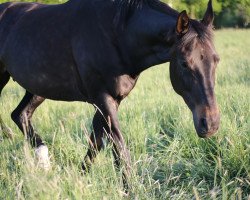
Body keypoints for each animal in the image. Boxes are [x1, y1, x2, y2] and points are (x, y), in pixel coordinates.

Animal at [0, 0, 219, 184]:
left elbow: (96, 141)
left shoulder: (111, 99)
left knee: (20, 114)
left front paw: (80, 180)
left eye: (216, 60)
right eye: (184, 63)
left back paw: (43, 161)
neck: (117, 35)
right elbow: (119, 149)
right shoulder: (102, 98)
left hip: (39, 88)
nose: (210, 124)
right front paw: (130, 189)